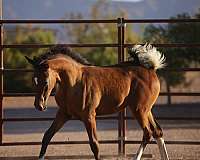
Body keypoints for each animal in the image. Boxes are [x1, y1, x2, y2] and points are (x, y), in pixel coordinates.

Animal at [24, 43, 169, 159]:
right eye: (33, 79)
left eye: (45, 81)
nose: (39, 105)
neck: (73, 81)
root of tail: (151, 69)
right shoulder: (63, 114)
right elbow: (47, 136)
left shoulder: (89, 116)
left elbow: (94, 144)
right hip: (146, 110)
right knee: (157, 132)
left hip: (139, 109)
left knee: (148, 133)